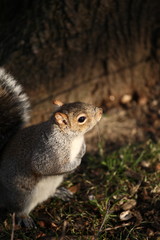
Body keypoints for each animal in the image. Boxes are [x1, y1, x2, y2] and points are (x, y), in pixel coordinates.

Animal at [0, 67, 102, 227]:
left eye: (80, 101)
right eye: (81, 119)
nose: (101, 111)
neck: (72, 138)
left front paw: (82, 152)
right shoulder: (46, 153)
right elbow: (45, 167)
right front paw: (75, 163)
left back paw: (60, 192)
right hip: (22, 197)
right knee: (17, 210)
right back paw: (25, 218)